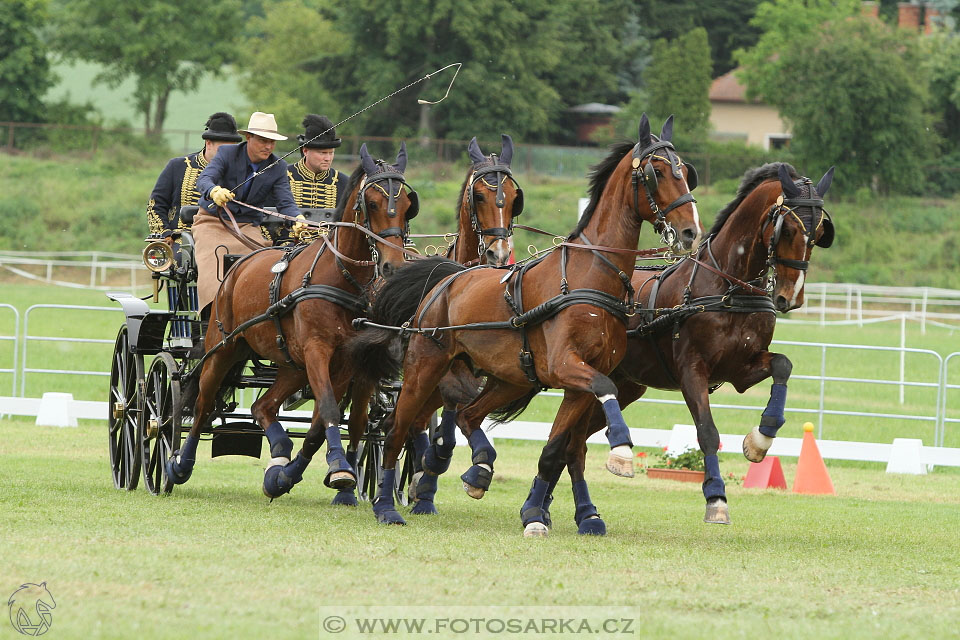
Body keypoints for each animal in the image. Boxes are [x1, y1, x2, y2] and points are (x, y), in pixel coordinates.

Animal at [165, 144, 420, 500]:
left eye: (408, 206)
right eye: (371, 203)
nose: (393, 266)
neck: (341, 278)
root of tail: (237, 265)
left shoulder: (345, 361)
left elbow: (321, 422)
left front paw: (294, 474)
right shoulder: (317, 351)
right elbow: (328, 409)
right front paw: (337, 468)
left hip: (290, 365)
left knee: (263, 407)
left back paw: (279, 457)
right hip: (224, 349)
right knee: (203, 406)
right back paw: (179, 465)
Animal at [352, 114, 704, 524]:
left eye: (686, 173)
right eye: (657, 172)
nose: (690, 231)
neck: (588, 275)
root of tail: (447, 280)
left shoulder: (578, 382)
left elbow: (555, 449)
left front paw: (536, 513)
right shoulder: (567, 365)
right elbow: (606, 390)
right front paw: (620, 451)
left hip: (510, 379)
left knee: (469, 416)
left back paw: (478, 470)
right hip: (426, 368)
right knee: (396, 431)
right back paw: (386, 504)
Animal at [520, 161, 836, 536]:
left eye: (819, 232)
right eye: (786, 229)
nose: (792, 297)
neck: (726, 285)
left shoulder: (742, 369)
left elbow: (783, 365)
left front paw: (760, 438)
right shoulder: (692, 371)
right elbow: (707, 432)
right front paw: (716, 499)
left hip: (626, 387)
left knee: (574, 443)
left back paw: (553, 509)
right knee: (571, 443)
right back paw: (545, 509)